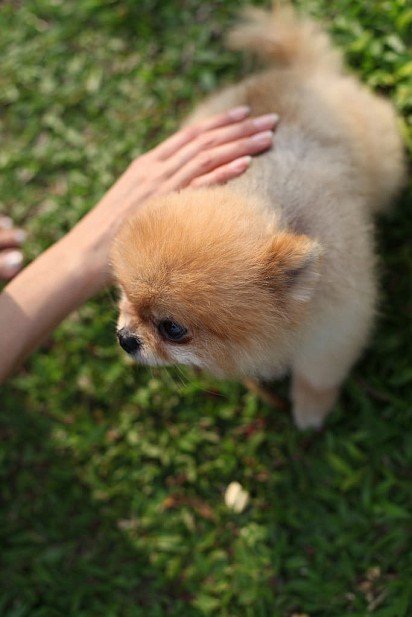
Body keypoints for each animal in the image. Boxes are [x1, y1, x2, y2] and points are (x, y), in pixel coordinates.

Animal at [110, 6, 406, 428]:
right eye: (124, 293)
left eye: (172, 328)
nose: (125, 338)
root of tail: (303, 72)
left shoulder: (337, 326)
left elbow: (318, 375)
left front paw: (310, 410)